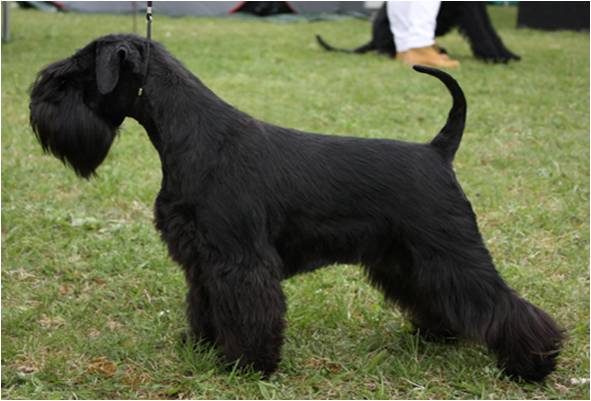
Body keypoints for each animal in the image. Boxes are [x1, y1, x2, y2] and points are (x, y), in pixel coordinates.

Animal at [30, 33, 560, 378]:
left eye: (73, 76)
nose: (36, 107)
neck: (193, 136)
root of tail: (437, 151)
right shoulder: (203, 259)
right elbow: (205, 304)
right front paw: (202, 346)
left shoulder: (240, 260)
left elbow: (248, 310)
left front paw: (246, 365)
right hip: (406, 258)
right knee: (440, 295)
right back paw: (438, 336)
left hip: (450, 249)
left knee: (502, 302)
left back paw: (533, 363)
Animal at [320, 1, 524, 63]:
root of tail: (372, 39)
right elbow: (481, 31)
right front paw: (496, 58)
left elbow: (489, 30)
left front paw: (507, 55)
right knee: (386, 49)